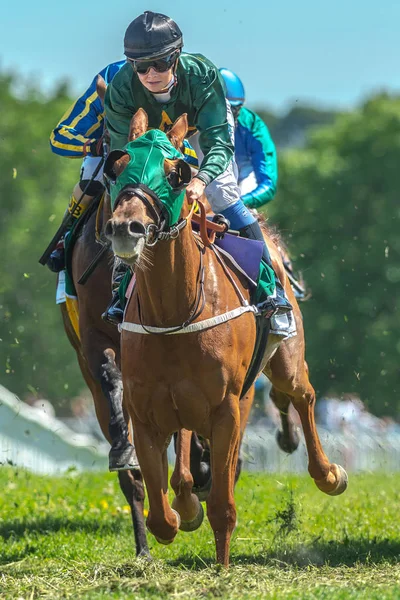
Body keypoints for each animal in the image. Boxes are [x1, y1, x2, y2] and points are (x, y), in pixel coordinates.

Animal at [104, 110, 348, 564]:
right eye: (117, 166)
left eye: (176, 173)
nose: (126, 227)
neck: (174, 314)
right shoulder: (144, 413)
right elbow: (160, 518)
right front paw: (182, 511)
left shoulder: (226, 409)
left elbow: (223, 503)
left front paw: (222, 566)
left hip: (286, 360)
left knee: (303, 395)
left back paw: (327, 472)